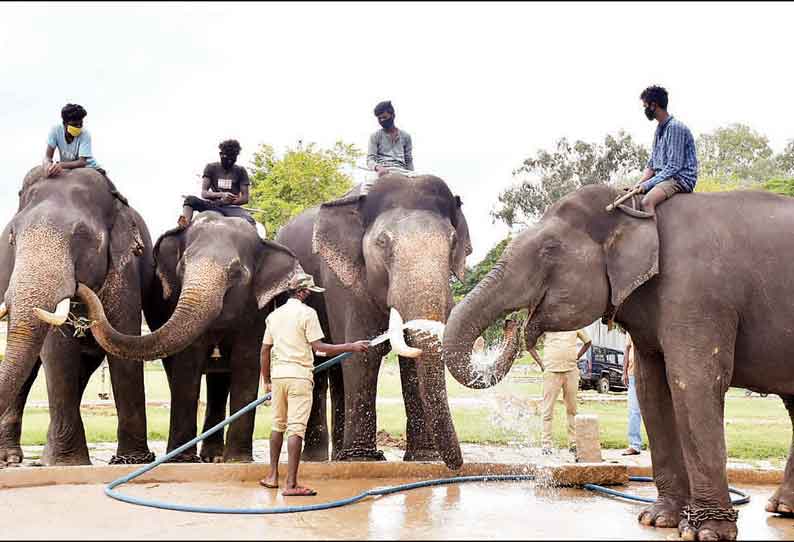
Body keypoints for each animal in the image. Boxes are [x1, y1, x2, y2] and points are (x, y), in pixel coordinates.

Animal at [0, 167, 156, 468]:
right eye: (12, 238)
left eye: (81, 234)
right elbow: (58, 350)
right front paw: (66, 463)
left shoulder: (125, 266)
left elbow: (125, 340)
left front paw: (132, 461)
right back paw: (10, 458)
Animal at [57, 211, 302, 464]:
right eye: (182, 266)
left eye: (237, 273)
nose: (78, 286)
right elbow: (188, 365)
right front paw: (182, 459)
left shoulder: (256, 313)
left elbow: (246, 363)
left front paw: (238, 461)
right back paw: (207, 456)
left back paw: (214, 458)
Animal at [442, 185, 794, 540]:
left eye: (549, 249)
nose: (512, 324)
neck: (637, 209)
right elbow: (652, 390)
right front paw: (657, 520)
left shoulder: (699, 295)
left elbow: (692, 383)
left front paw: (705, 533)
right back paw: (781, 508)